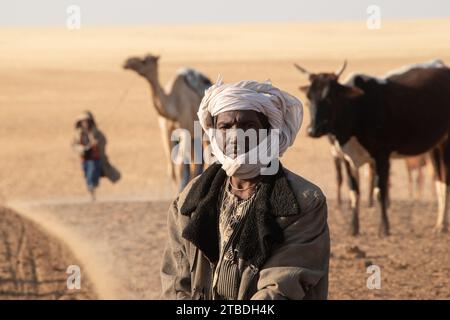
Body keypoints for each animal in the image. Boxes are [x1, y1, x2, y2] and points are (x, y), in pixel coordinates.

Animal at [123, 53, 213, 191]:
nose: (126, 62)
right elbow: (171, 168)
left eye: (144, 61)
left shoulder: (184, 131)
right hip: (195, 136)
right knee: (195, 162)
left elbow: (180, 166)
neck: (172, 107)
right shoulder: (165, 132)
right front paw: (177, 190)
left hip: (205, 133)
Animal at [294, 59, 450, 235]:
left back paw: (442, 225)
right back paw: (439, 223)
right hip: (435, 146)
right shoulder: (346, 158)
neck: (356, 109)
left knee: (445, 181)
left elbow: (380, 191)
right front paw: (353, 228)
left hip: (446, 143)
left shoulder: (382, 155)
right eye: (308, 98)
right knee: (439, 180)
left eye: (330, 98)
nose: (313, 130)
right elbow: (353, 191)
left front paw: (384, 228)